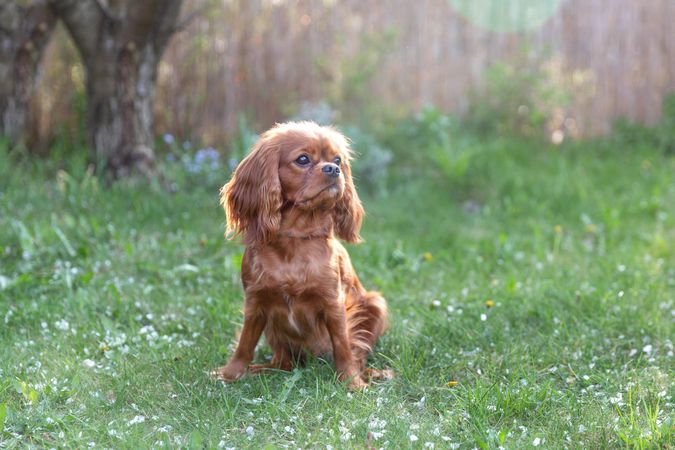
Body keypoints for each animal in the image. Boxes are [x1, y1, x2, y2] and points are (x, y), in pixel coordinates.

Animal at [214, 121, 394, 388]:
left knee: (358, 352)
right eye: (302, 159)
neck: (296, 238)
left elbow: (343, 345)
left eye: (338, 160)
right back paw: (260, 370)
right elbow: (245, 343)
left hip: (375, 305)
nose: (333, 169)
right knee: (283, 363)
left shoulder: (333, 302)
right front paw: (230, 374)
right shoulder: (256, 302)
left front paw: (351, 382)